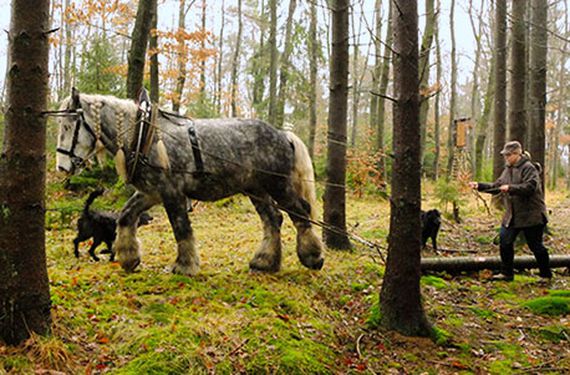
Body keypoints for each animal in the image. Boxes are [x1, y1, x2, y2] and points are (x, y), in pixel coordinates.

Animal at [57, 89, 324, 274]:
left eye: (69, 126)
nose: (61, 166)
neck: (145, 136)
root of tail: (283, 134)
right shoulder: (151, 192)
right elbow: (125, 216)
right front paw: (129, 257)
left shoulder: (172, 192)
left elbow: (181, 228)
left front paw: (185, 265)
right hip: (256, 189)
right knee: (272, 220)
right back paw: (265, 262)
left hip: (279, 186)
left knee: (300, 214)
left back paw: (312, 256)